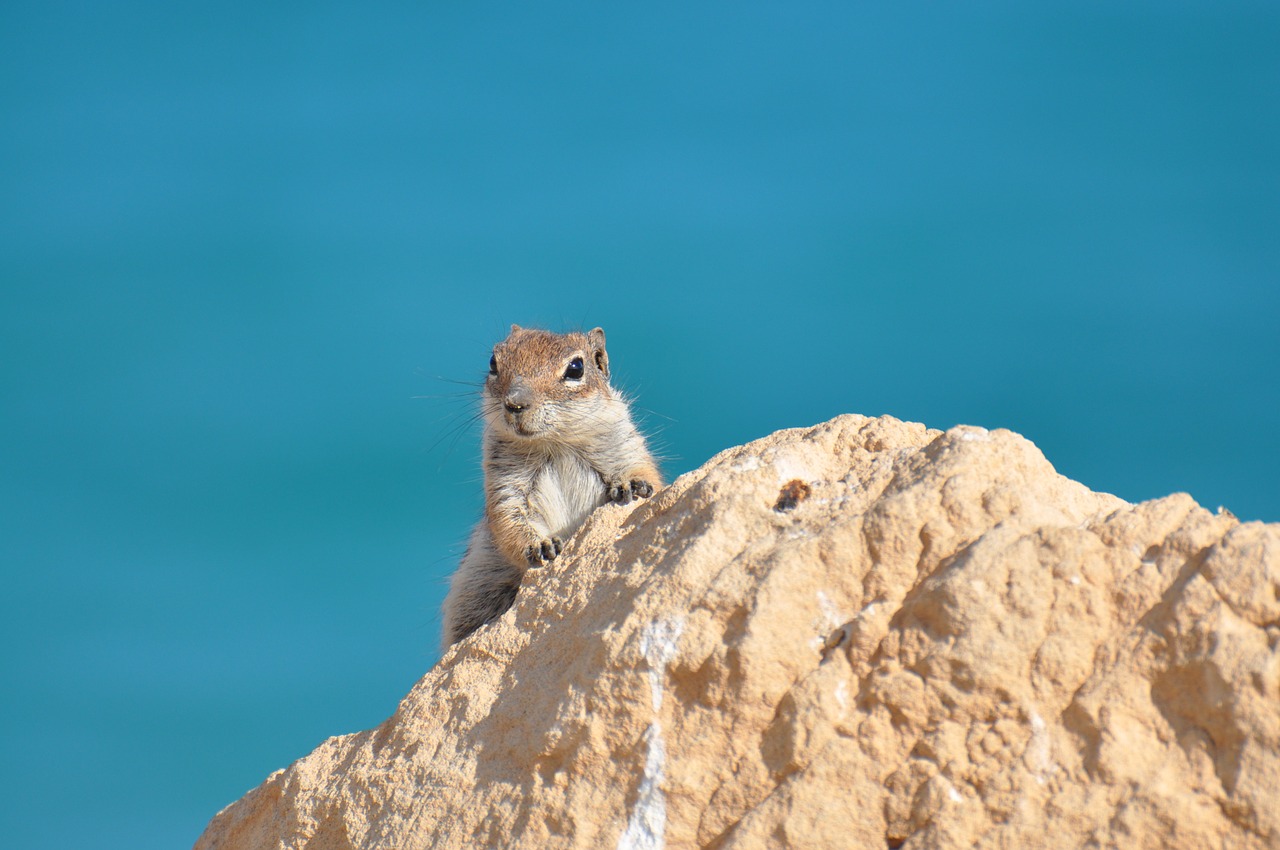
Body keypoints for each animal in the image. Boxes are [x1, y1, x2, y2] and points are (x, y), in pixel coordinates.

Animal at [437, 323, 660, 645]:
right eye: (493, 363)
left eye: (576, 368)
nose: (515, 403)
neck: (555, 444)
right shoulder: (505, 486)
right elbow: (509, 520)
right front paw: (540, 545)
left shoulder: (624, 444)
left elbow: (644, 471)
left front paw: (632, 486)